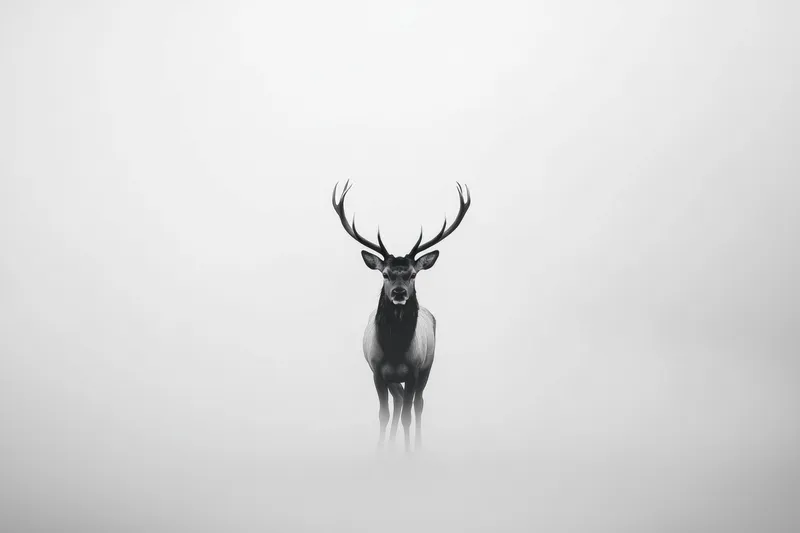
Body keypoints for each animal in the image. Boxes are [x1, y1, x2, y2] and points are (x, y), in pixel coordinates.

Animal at [331, 180, 472, 453]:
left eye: (413, 274)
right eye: (385, 274)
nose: (398, 292)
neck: (395, 349)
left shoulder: (414, 370)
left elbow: (408, 413)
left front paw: (408, 453)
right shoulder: (377, 370)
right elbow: (384, 414)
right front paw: (381, 451)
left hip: (428, 365)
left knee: (418, 404)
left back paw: (416, 445)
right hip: (393, 379)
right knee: (397, 402)